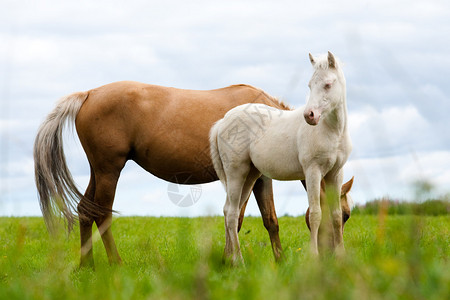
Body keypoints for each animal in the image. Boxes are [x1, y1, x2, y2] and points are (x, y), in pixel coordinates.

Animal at [34, 81, 292, 266]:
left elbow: (269, 220)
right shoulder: (248, 177)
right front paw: (230, 260)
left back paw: (87, 266)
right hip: (109, 171)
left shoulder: (259, 178)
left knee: (86, 211)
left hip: (97, 171)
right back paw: (116, 263)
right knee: (102, 213)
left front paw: (278, 261)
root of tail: (88, 94)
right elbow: (236, 219)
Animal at [210, 52, 352, 262]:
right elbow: (316, 214)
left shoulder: (335, 173)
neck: (331, 131)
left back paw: (231, 261)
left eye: (328, 84)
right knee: (233, 214)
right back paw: (239, 261)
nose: (309, 116)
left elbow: (333, 215)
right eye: (310, 85)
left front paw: (341, 258)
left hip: (250, 176)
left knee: (229, 210)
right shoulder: (313, 172)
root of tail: (222, 121)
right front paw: (313, 257)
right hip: (236, 173)